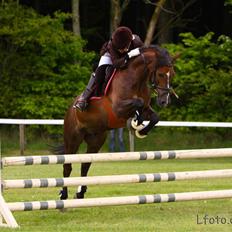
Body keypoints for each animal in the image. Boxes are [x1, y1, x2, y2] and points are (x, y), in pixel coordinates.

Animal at [58, 45, 176, 199]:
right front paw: (136, 122)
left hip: (96, 140)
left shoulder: (146, 109)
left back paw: (80, 192)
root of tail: (70, 109)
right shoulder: (118, 108)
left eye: (172, 75)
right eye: (161, 74)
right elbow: (138, 102)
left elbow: (154, 116)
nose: (164, 101)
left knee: (85, 164)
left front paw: (141, 129)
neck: (136, 79)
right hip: (73, 138)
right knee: (67, 165)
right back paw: (64, 194)